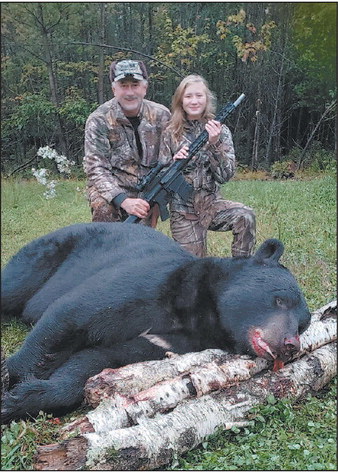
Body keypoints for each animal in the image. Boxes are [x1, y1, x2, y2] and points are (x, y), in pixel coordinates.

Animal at [0, 223, 312, 422]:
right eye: (280, 299)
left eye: (303, 325)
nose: (289, 344)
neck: (196, 313)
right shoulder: (148, 283)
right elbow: (68, 316)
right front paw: (9, 383)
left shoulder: (168, 341)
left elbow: (96, 361)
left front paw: (26, 398)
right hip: (47, 255)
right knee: (15, 286)